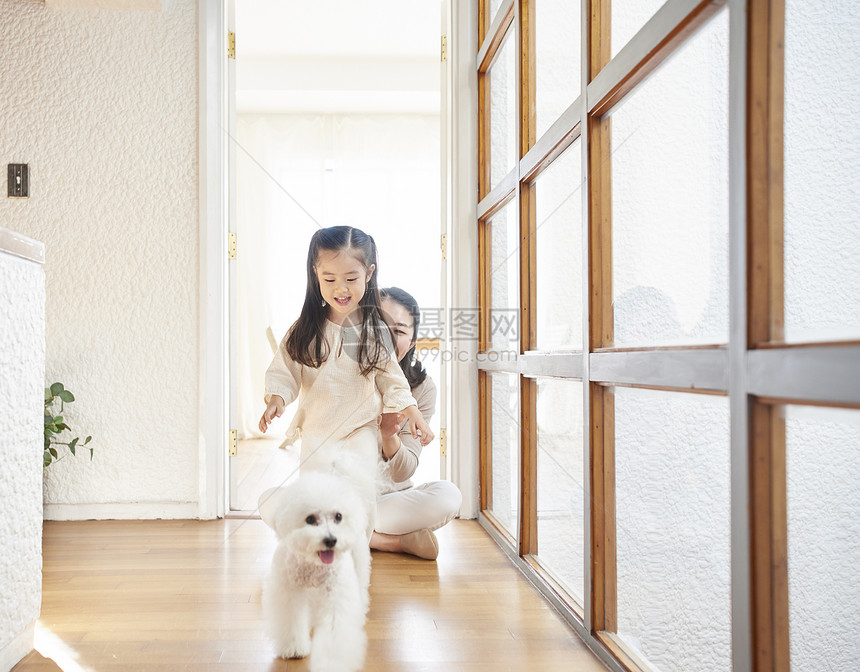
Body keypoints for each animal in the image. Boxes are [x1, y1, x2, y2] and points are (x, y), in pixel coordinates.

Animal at [262, 472, 370, 672]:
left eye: (338, 516)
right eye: (310, 519)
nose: (331, 540)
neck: (312, 563)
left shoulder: (336, 595)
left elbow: (334, 632)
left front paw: (332, 665)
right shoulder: (288, 591)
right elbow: (292, 619)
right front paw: (294, 648)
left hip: (359, 564)